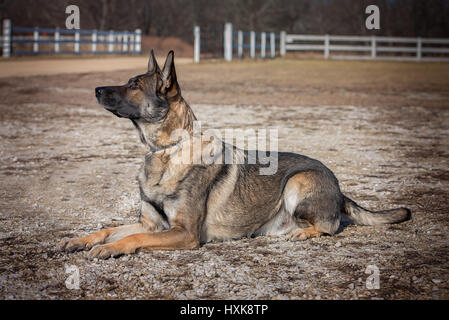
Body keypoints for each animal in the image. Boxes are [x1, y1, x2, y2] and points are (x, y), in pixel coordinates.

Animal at [58, 50, 410, 260]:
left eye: (133, 85)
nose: (96, 90)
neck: (167, 152)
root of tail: (338, 187)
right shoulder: (151, 224)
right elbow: (108, 229)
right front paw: (80, 240)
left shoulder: (183, 233)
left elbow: (132, 239)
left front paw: (109, 249)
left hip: (297, 182)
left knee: (329, 226)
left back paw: (302, 232)